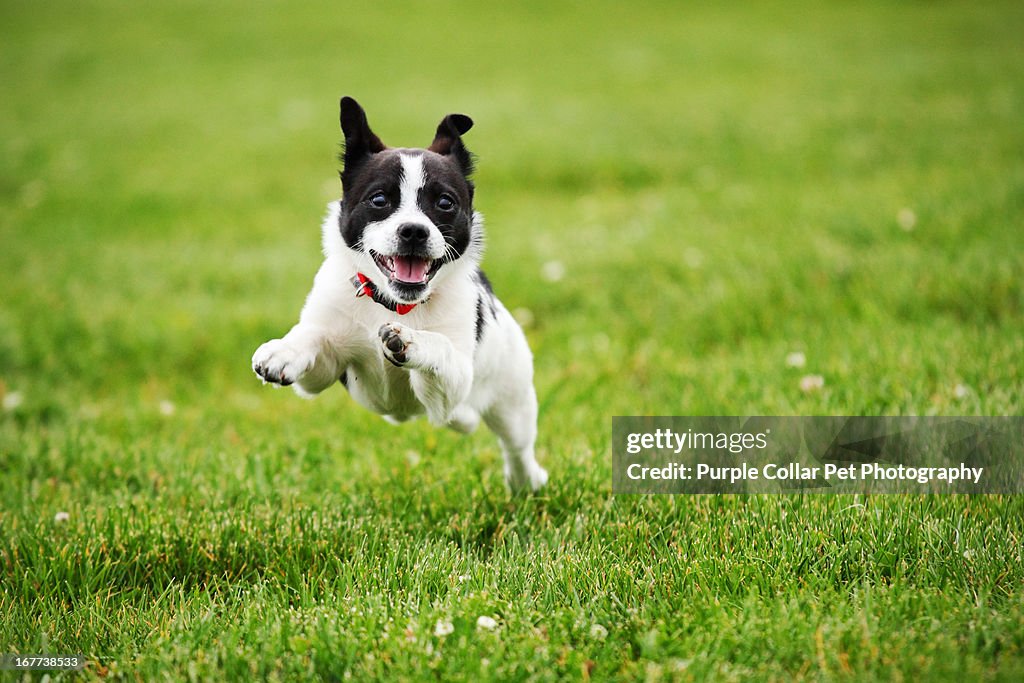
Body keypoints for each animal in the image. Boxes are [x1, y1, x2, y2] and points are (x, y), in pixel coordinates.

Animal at [250, 96, 548, 491]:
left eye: (444, 203)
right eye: (379, 200)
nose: (413, 231)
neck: (395, 303)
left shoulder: (454, 379)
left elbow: (439, 347)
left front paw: (410, 341)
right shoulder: (321, 375)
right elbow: (313, 337)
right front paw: (283, 350)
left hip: (512, 399)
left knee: (515, 445)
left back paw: (526, 479)